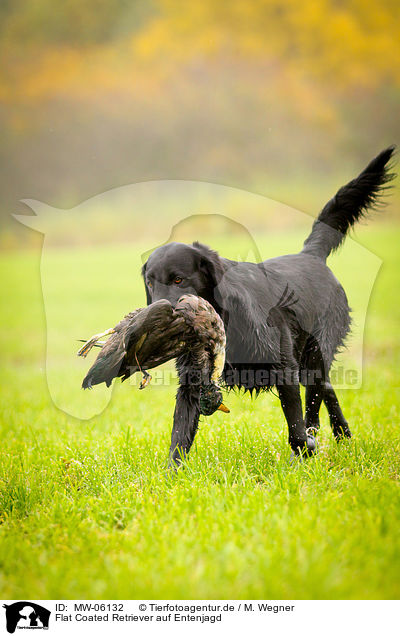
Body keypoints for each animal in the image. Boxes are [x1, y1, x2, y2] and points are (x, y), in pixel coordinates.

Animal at [143, 148, 394, 462]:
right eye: (150, 283)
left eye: (178, 279)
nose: (155, 316)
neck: (226, 317)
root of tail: (310, 255)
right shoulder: (192, 380)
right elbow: (179, 434)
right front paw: (173, 471)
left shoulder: (284, 367)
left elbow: (296, 425)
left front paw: (303, 455)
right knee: (327, 390)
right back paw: (342, 436)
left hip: (315, 353)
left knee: (316, 399)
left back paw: (325, 438)